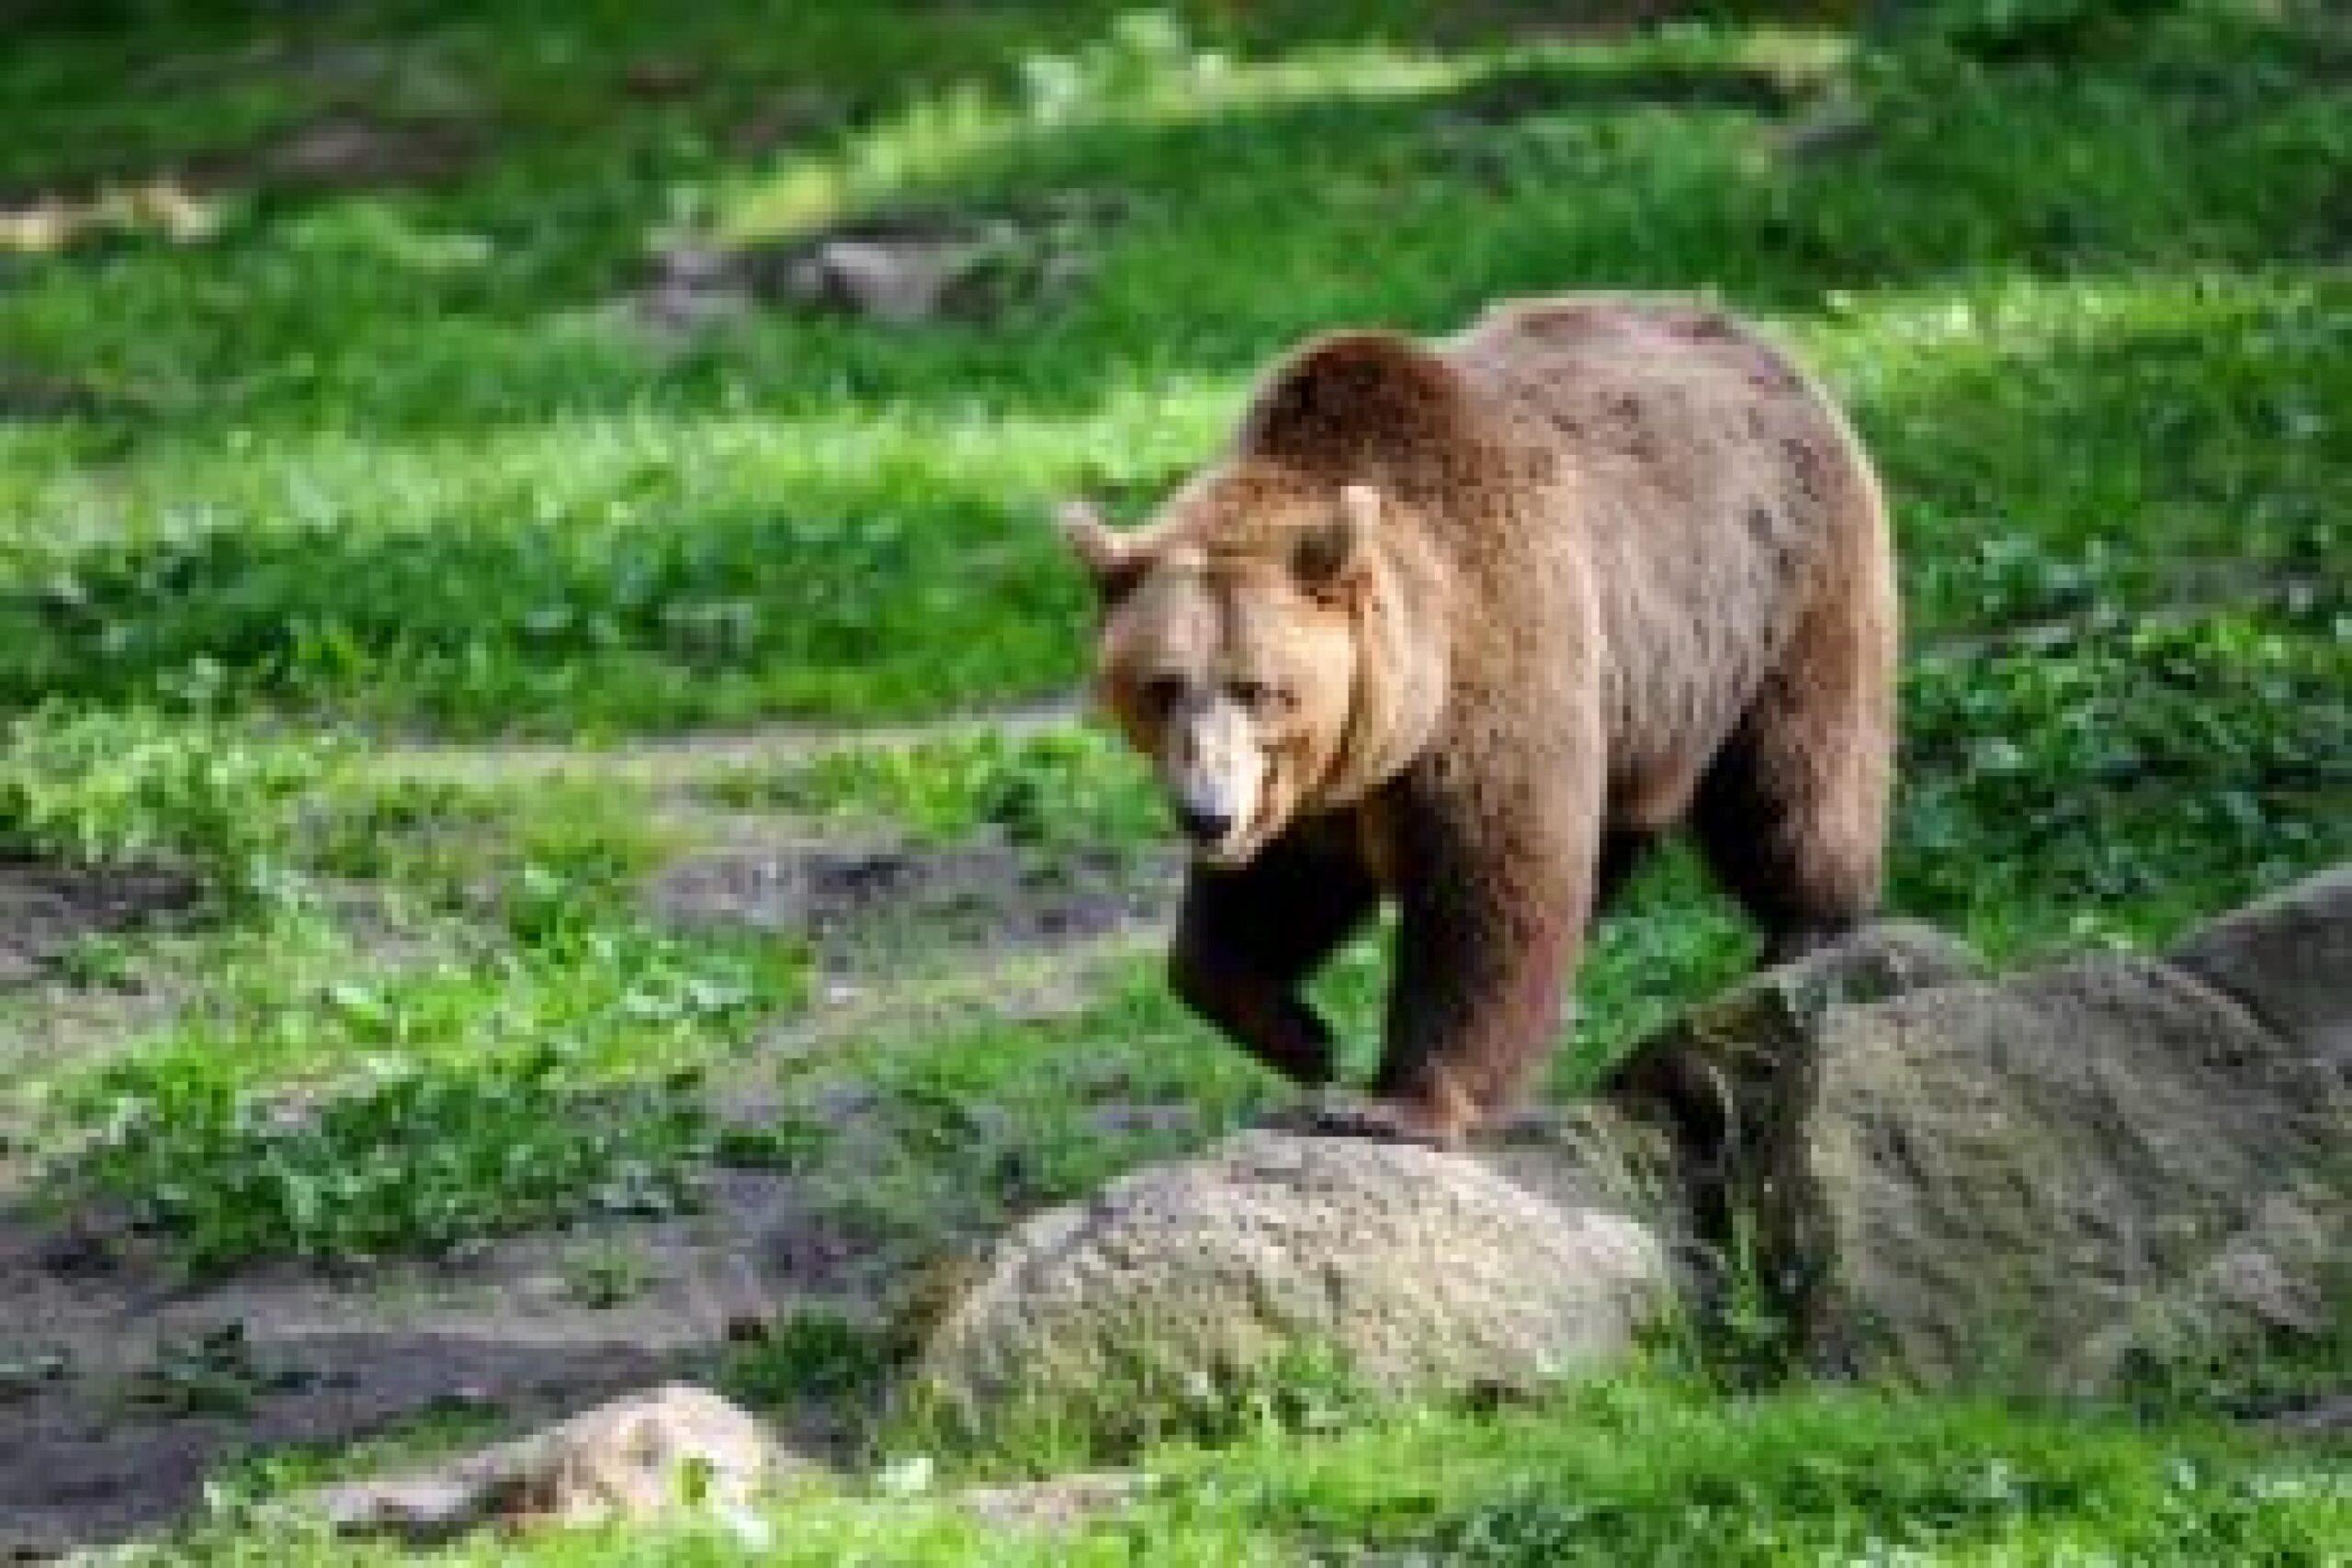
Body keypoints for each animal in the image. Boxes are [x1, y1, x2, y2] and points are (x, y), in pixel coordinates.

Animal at [1063, 293, 1891, 1146]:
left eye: (1259, 687)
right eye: (1162, 685)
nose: (1206, 814)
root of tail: (1755, 335)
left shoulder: (1494, 653)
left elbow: (1493, 882)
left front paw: (1394, 1100)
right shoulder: (1315, 781)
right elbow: (1271, 892)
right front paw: (1301, 1035)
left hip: (1776, 593)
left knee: (1795, 771)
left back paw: (1810, 928)